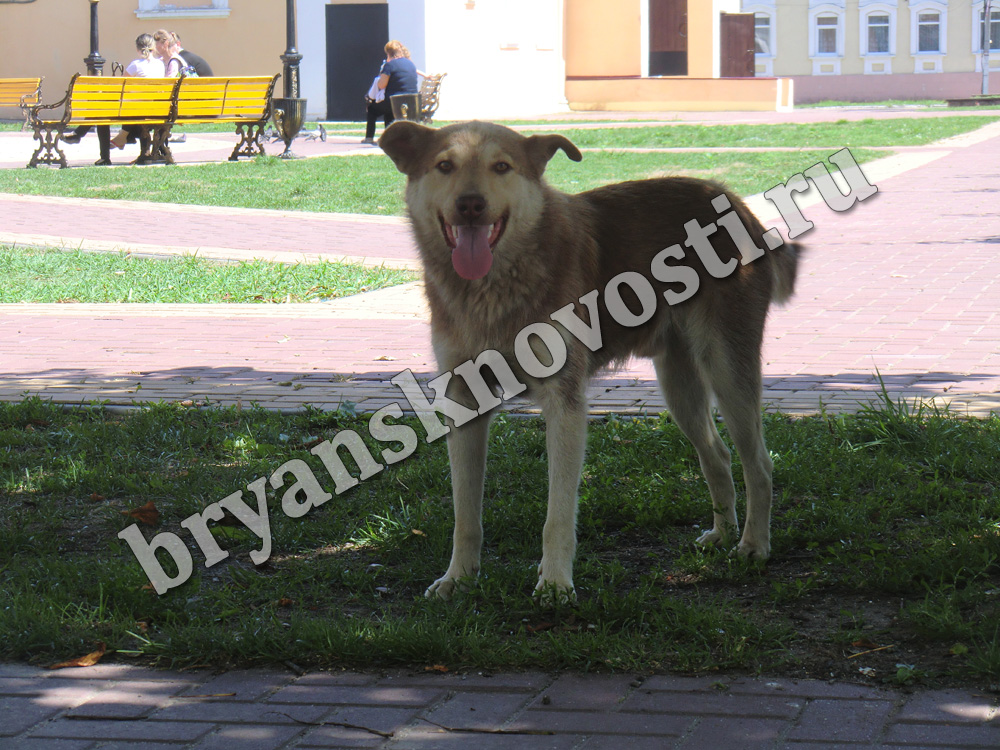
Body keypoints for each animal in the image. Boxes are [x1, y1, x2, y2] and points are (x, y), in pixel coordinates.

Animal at [378, 122, 800, 604]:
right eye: (444, 165)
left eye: (501, 166)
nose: (470, 205)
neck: (492, 288)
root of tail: (736, 203)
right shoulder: (464, 401)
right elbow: (465, 514)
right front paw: (459, 579)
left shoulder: (565, 404)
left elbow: (558, 514)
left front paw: (555, 583)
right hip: (679, 386)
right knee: (717, 453)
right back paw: (723, 533)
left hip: (728, 371)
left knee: (760, 464)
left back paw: (754, 545)